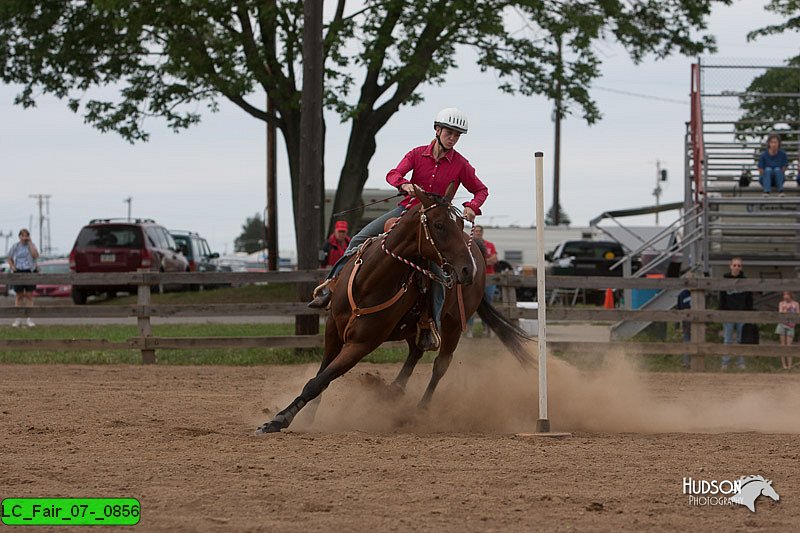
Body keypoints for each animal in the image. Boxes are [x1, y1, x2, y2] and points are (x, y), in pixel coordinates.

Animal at [256, 182, 532, 432]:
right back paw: (393, 392)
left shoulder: (362, 343)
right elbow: (320, 375)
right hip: (413, 326)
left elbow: (320, 380)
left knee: (440, 365)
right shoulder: (333, 329)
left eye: (461, 223)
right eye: (439, 225)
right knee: (416, 351)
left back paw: (418, 410)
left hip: (453, 325)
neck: (369, 282)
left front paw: (278, 420)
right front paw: (307, 416)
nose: (468, 270)